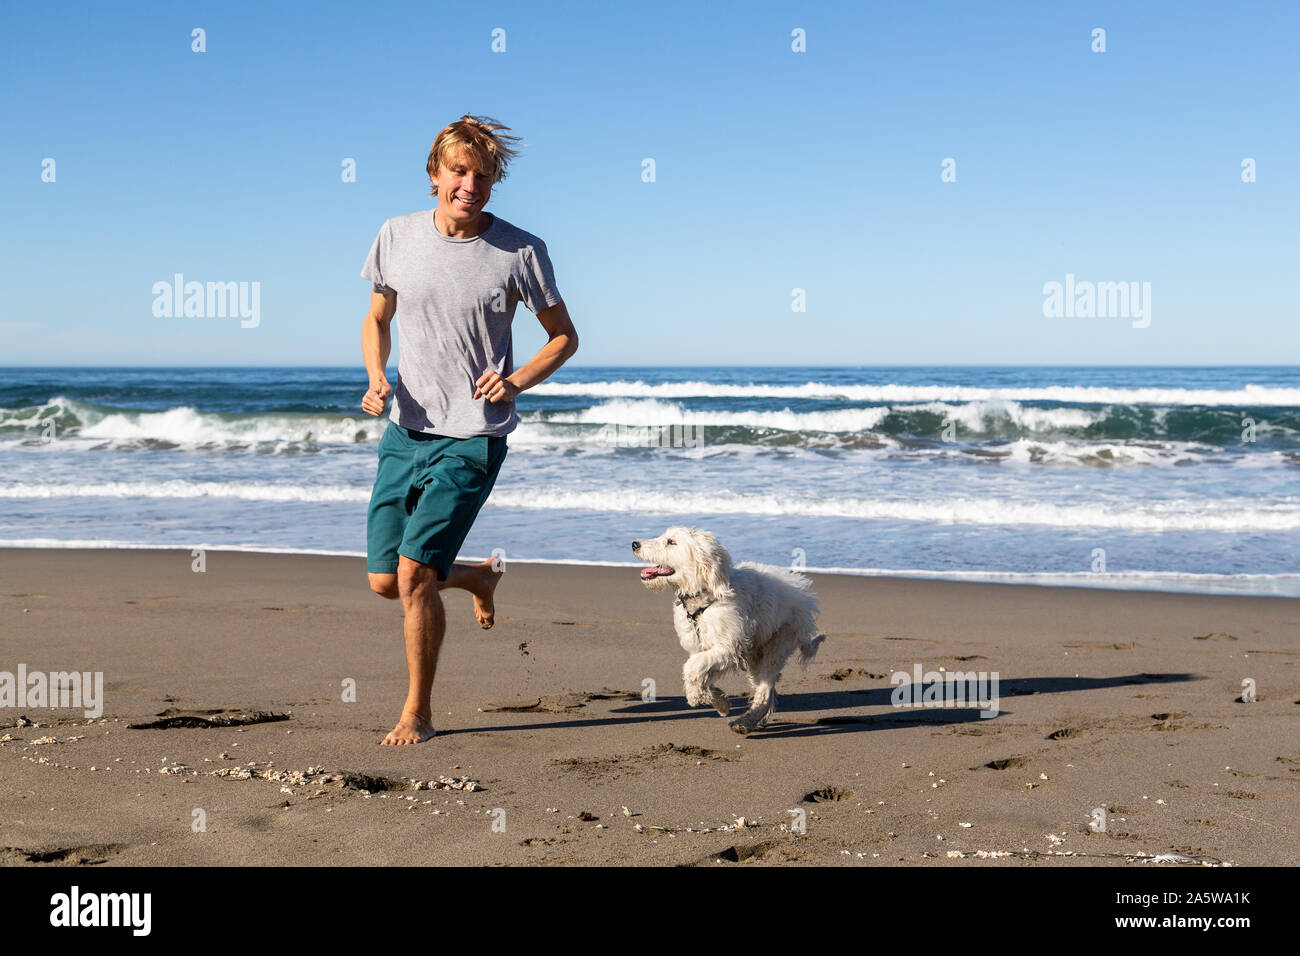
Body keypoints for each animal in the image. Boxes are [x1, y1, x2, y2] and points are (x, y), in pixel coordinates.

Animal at [629, 528, 821, 738]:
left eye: (671, 542)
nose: (635, 544)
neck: (705, 598)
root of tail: (805, 598)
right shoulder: (701, 649)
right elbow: (702, 672)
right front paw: (719, 702)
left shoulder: (729, 647)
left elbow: (692, 667)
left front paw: (694, 695)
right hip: (756, 655)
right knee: (768, 690)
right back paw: (755, 720)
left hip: (778, 643)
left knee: (765, 688)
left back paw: (745, 721)